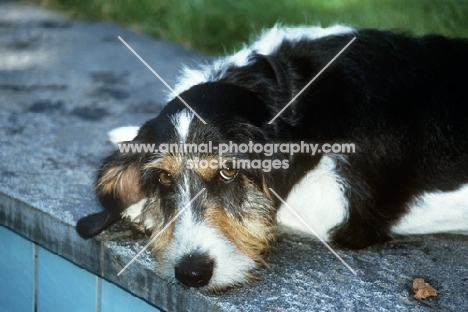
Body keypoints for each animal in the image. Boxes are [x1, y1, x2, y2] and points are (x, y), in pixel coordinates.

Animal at [77, 25, 468, 292]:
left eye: (229, 172)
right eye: (163, 179)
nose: (191, 273)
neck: (288, 95)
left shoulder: (351, 208)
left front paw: (139, 210)